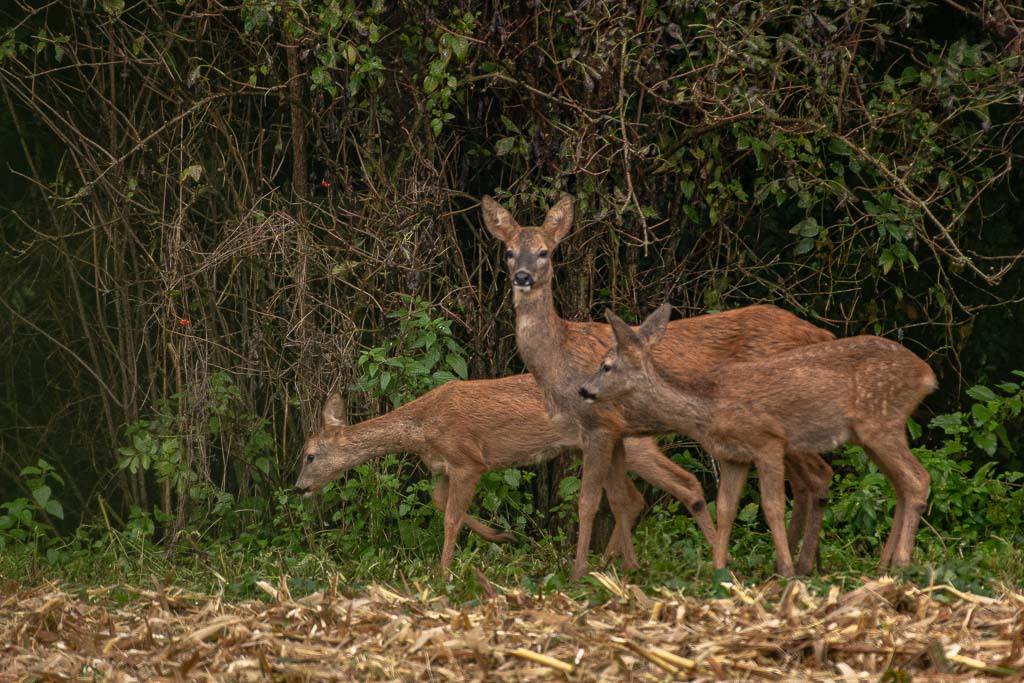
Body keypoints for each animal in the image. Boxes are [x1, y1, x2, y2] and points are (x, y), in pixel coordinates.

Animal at [292, 370, 716, 573]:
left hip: (630, 443)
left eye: (310, 455)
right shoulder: (445, 467)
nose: (298, 488)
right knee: (635, 498)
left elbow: (450, 516)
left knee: (683, 483)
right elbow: (440, 501)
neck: (423, 428)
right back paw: (612, 563)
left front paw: (443, 572)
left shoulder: (468, 459)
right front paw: (503, 536)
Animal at [481, 194, 839, 581]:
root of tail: (823, 334)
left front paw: (579, 573)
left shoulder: (599, 424)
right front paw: (627, 568)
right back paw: (798, 564)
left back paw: (795, 565)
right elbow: (619, 500)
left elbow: (588, 502)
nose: (523, 277)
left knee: (818, 477)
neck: (559, 357)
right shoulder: (616, 432)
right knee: (807, 483)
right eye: (509, 251)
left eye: (544, 251)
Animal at [577, 305, 937, 577]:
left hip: (881, 423)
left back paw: (900, 563)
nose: (583, 390)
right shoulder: (732, 456)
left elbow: (773, 506)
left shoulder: (768, 441)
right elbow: (725, 509)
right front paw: (720, 569)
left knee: (917, 479)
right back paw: (884, 566)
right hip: (873, 434)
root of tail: (927, 375)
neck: (708, 408)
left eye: (606, 366)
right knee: (901, 485)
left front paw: (786, 570)